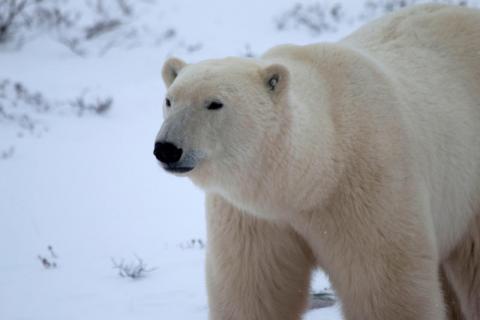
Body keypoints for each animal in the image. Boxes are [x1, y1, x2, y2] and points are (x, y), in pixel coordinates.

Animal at [153, 4, 480, 320]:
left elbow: (384, 287)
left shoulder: (369, 191)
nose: (166, 149)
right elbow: (253, 290)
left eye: (214, 103)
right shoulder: (254, 218)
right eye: (170, 100)